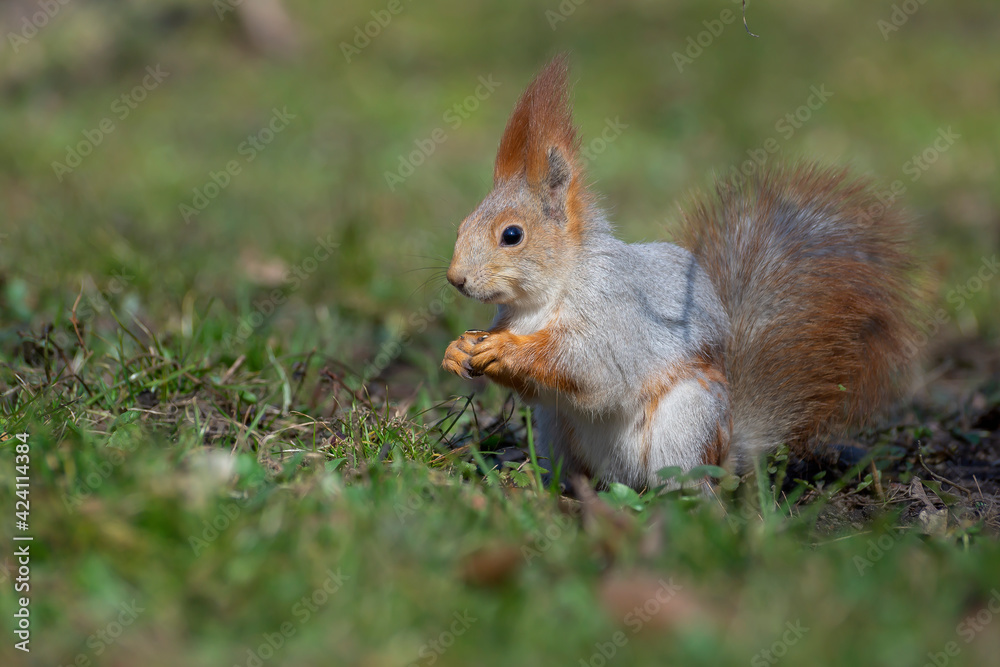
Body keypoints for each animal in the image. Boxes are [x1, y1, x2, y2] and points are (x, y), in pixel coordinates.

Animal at [444, 53, 920, 490]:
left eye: (512, 235)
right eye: (462, 224)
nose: (456, 279)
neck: (541, 300)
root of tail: (727, 456)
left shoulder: (615, 314)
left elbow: (589, 366)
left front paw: (505, 349)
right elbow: (538, 387)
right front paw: (457, 349)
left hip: (686, 422)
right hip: (556, 428)